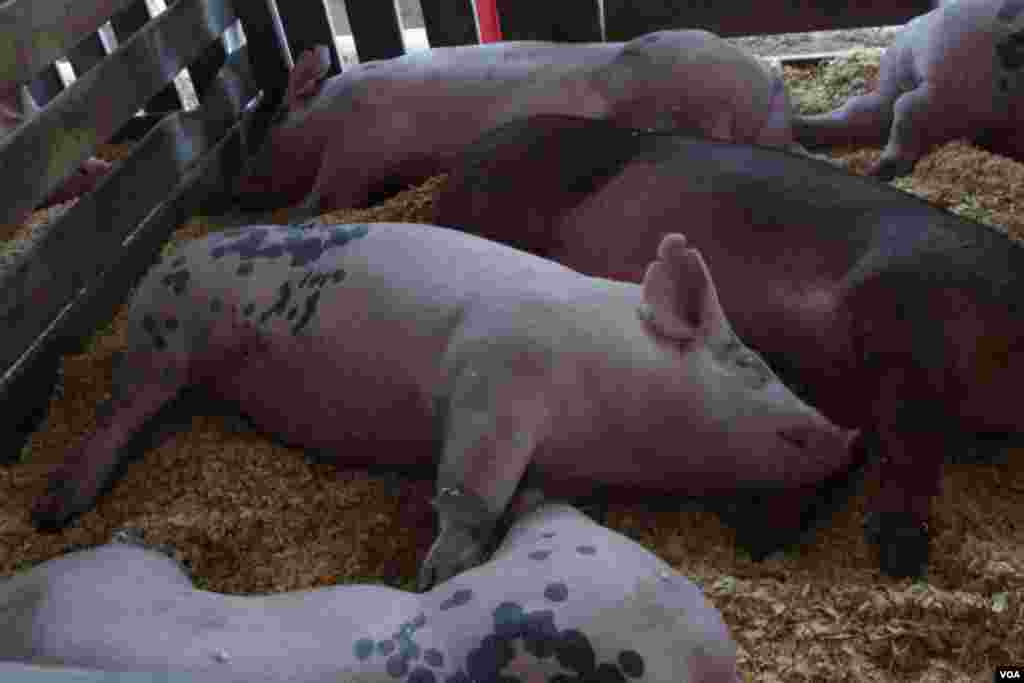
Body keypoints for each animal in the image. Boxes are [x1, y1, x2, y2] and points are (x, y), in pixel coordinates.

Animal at [32, 223, 864, 589]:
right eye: (749, 363)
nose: (850, 434)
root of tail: (159, 261)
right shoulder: (493, 381)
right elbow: (469, 490)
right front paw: (435, 577)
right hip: (162, 342)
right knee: (118, 411)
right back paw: (53, 509)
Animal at [232, 30, 798, 214]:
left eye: (270, 126)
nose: (236, 190)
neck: (327, 115)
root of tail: (764, 77)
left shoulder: (359, 147)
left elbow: (324, 198)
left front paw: (287, 216)